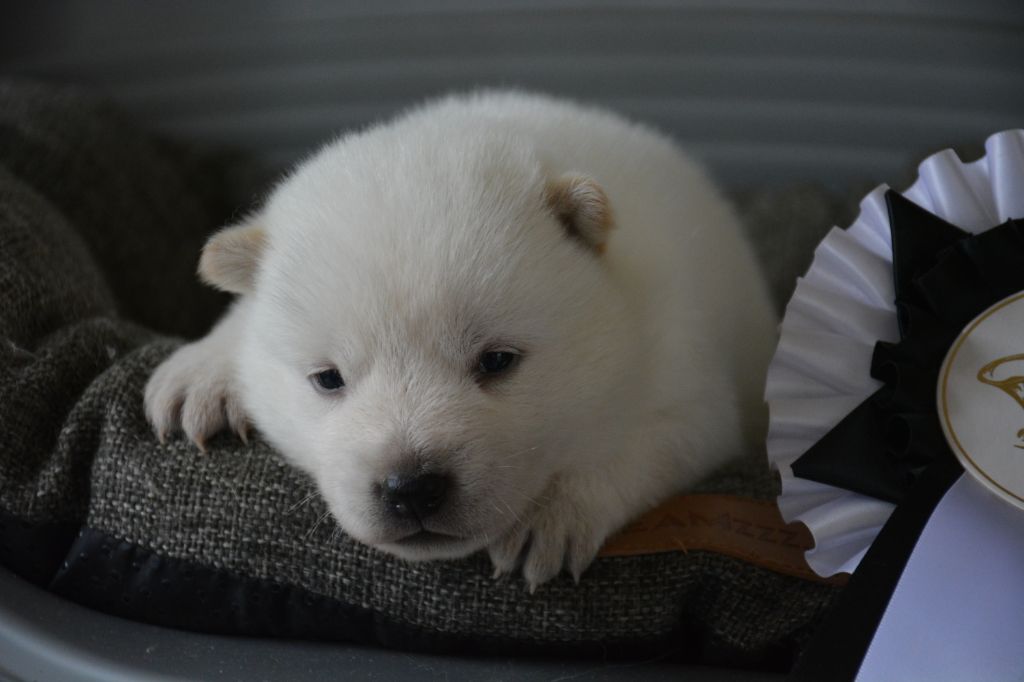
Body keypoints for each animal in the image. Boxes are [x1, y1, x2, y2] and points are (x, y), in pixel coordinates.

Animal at [146, 91, 774, 589]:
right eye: (327, 378)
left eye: (497, 361)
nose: (411, 487)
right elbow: (243, 308)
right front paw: (202, 371)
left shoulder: (685, 380)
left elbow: (648, 445)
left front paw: (552, 512)